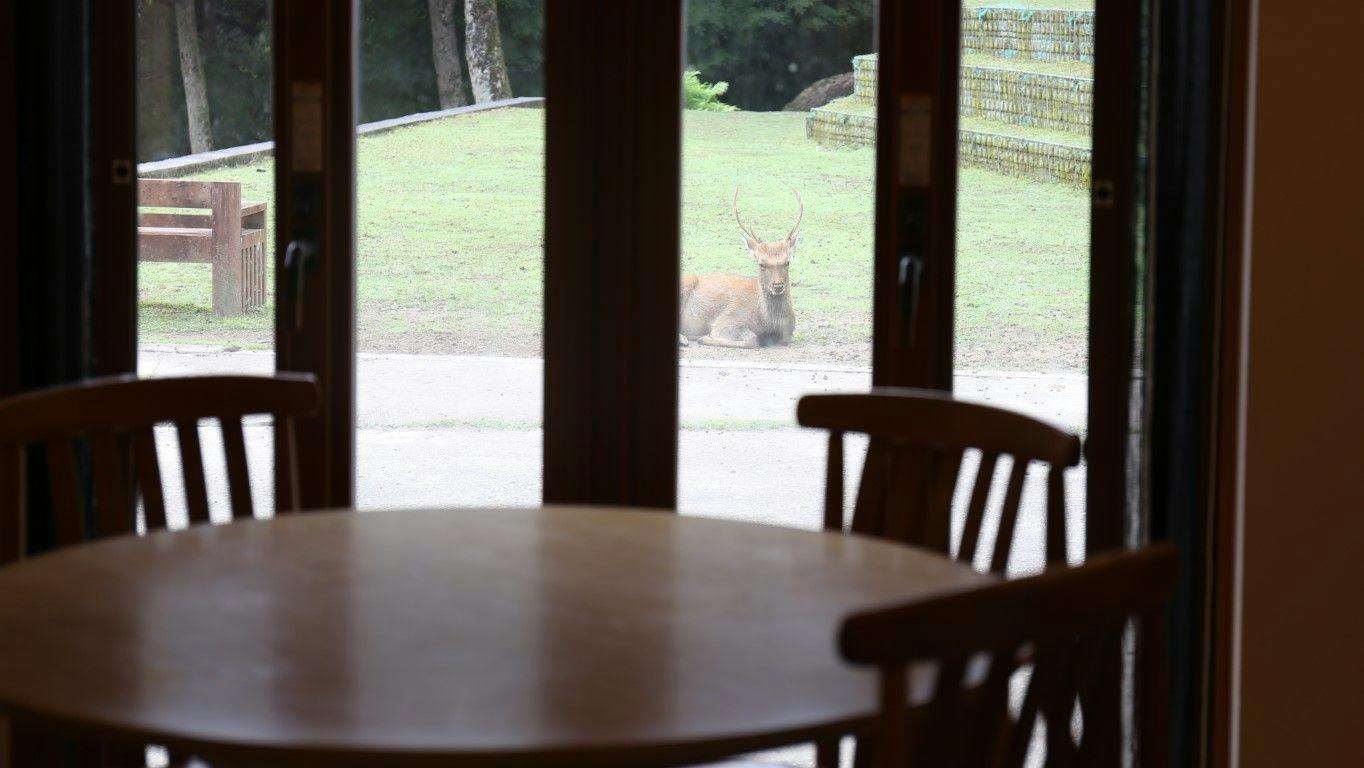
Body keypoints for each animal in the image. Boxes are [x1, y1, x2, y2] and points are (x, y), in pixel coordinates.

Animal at [679, 187, 801, 349]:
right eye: (761, 263)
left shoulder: (788, 336)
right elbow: (753, 339)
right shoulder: (726, 319)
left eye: (787, 262)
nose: (778, 285)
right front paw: (703, 338)